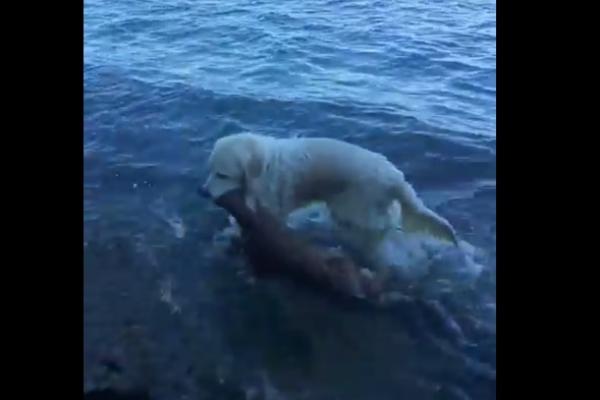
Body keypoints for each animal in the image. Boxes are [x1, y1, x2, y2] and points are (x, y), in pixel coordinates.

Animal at [203, 133, 460, 274]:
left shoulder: (271, 211)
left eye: (222, 174)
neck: (263, 167)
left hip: (352, 217)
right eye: (210, 170)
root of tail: (396, 178)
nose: (201, 191)